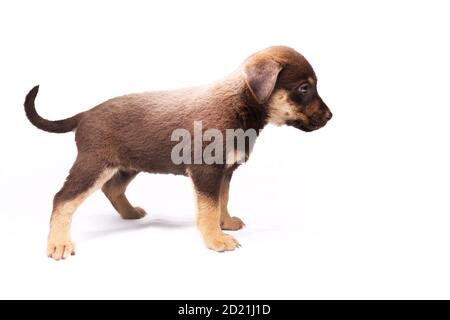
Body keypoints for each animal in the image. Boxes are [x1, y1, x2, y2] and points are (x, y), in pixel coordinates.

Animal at [25, 45, 334, 260]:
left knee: (112, 189)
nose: (331, 116)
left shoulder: (224, 173)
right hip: (93, 165)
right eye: (304, 88)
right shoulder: (207, 172)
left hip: (128, 165)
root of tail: (85, 114)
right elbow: (208, 209)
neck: (241, 103)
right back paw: (58, 243)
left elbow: (221, 201)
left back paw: (130, 213)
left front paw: (225, 224)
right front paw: (216, 240)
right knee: (63, 199)